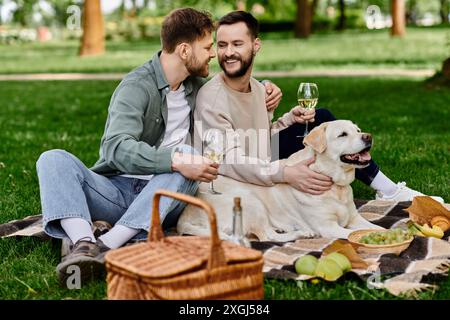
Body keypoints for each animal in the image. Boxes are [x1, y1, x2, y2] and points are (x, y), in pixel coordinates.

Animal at [178, 120, 382, 240]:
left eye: (358, 130)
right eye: (343, 134)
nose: (368, 136)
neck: (336, 186)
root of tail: (184, 215)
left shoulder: (355, 218)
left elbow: (375, 227)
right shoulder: (328, 227)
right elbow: (358, 233)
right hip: (249, 201)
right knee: (266, 237)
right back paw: (301, 233)